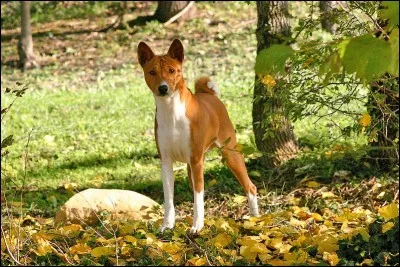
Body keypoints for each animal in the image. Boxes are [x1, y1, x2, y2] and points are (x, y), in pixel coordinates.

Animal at [136, 38, 258, 233]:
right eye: (152, 72)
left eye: (172, 71)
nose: (163, 88)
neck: (172, 114)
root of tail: (210, 96)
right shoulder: (166, 161)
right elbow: (169, 199)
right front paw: (167, 225)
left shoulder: (196, 161)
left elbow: (198, 198)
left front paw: (197, 226)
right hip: (190, 167)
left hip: (230, 154)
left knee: (250, 187)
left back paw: (255, 217)